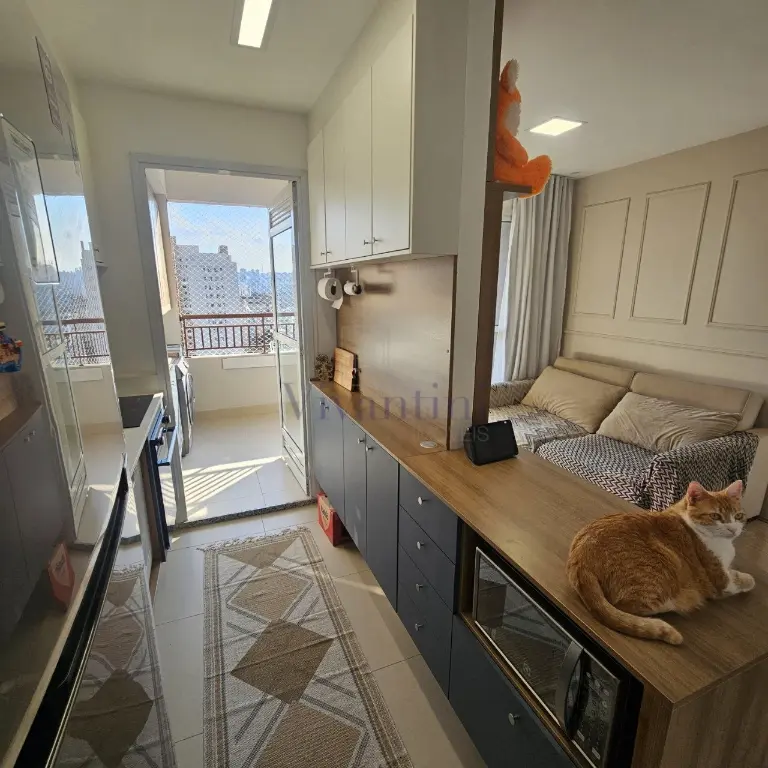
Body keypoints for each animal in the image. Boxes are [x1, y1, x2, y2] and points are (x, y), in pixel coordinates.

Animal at [566, 480, 753, 645]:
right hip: (662, 568)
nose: (733, 529)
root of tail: (579, 558)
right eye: (715, 516)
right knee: (631, 606)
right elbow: (744, 580)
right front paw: (747, 579)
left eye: (738, 516)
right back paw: (685, 600)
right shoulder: (721, 580)